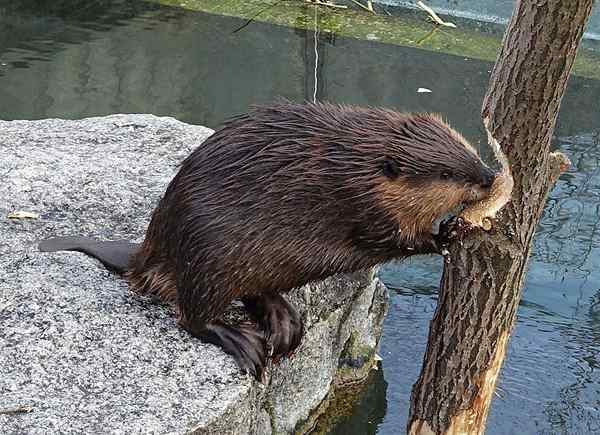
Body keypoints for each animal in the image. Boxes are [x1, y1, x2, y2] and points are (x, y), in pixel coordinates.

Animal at [38, 102, 496, 382]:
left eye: (467, 149)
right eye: (445, 174)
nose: (489, 176)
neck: (353, 162)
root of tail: (144, 256)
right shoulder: (358, 201)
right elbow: (388, 236)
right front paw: (447, 233)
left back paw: (285, 323)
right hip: (208, 260)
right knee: (192, 316)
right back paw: (244, 341)